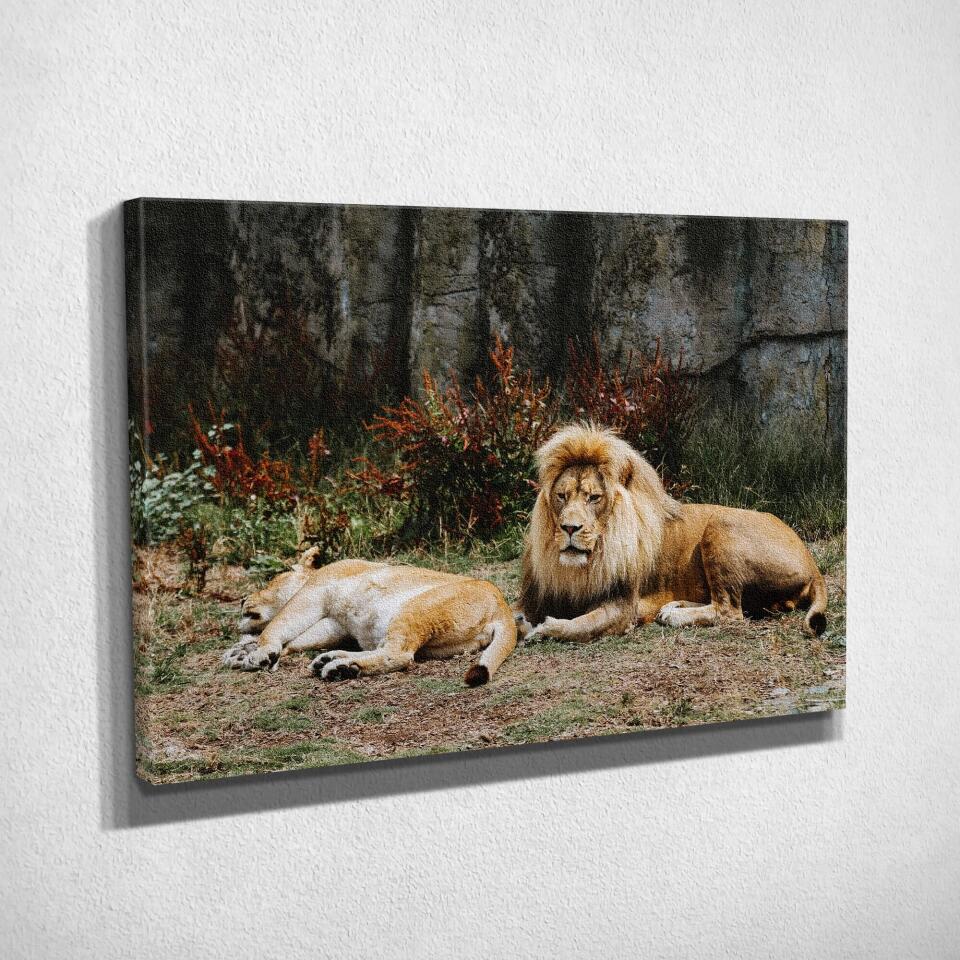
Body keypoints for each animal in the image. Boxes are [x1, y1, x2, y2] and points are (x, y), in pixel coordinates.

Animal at [221, 548, 516, 685]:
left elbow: (276, 626)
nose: (242, 600)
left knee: (398, 655)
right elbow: (295, 640)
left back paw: (340, 668)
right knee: (385, 649)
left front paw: (260, 653)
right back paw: (333, 662)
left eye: (271, 579)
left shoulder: (311, 595)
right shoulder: (333, 623)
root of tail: (503, 607)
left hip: (415, 610)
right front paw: (241, 652)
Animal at [518, 424, 828, 643]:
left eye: (594, 498)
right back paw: (672, 607)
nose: (570, 528)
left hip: (720, 524)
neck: (582, 567)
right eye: (561, 496)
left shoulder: (624, 606)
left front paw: (541, 629)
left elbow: (580, 626)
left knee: (729, 611)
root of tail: (812, 564)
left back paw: (674, 616)